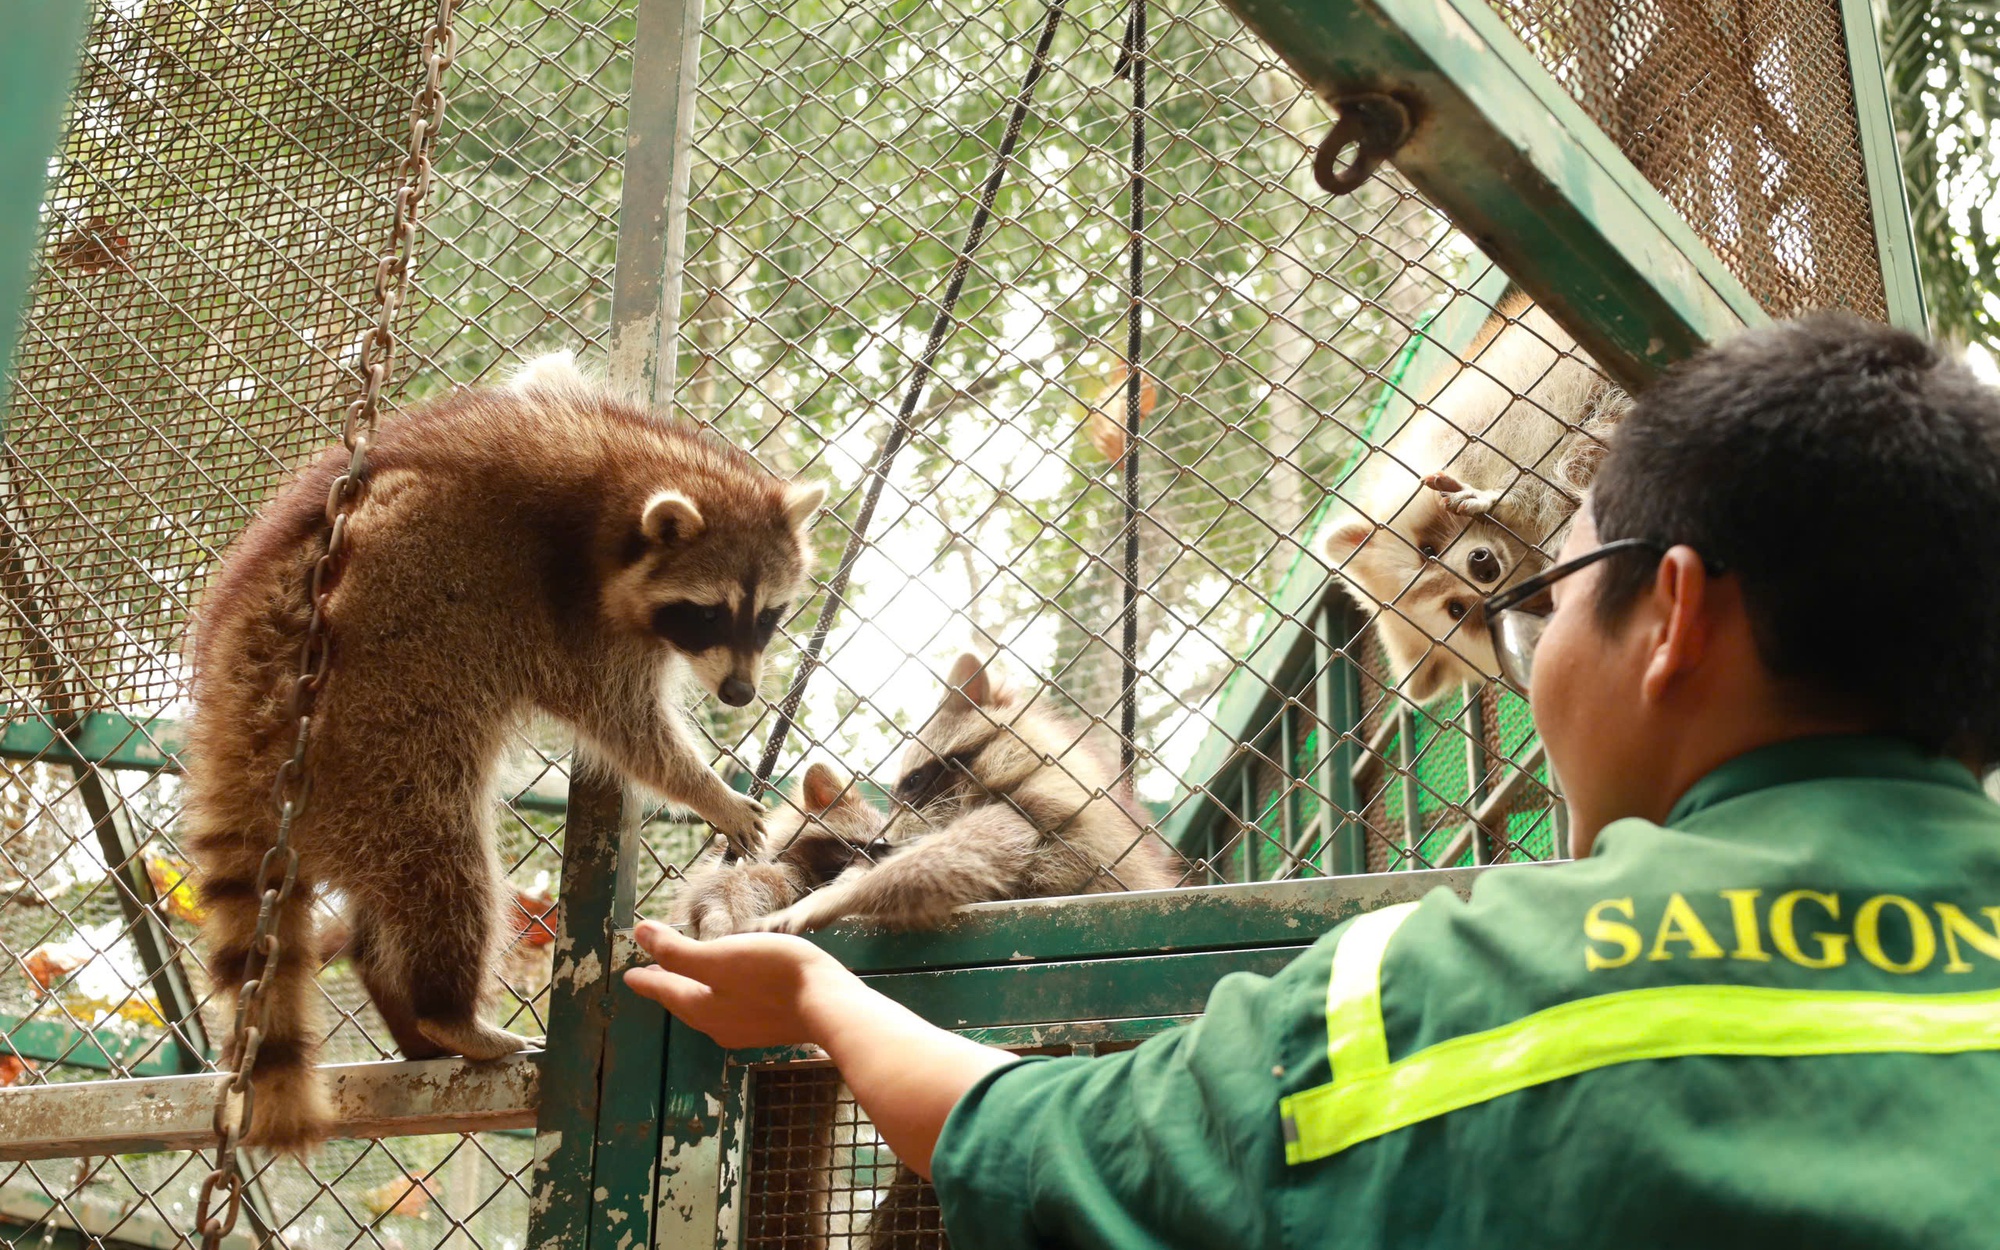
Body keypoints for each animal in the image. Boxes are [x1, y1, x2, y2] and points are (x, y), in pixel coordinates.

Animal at [180, 352, 820, 1152]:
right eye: (705, 615)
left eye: (766, 617)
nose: (739, 693)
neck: (622, 473)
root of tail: (239, 713)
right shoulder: (573, 618)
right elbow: (626, 726)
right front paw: (706, 787)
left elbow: (543, 375)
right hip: (369, 737)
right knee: (443, 864)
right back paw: (445, 1010)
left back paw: (402, 1005)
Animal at [1320, 292, 1632, 704]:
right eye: (1457, 609)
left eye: (1428, 551)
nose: (1482, 566)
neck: (1520, 547)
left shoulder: (1493, 409)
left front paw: (1504, 501)